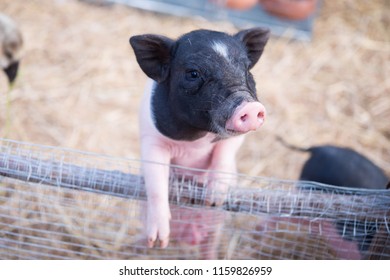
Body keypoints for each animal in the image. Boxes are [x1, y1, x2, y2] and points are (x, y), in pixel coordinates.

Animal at [129, 27, 270, 256]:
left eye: (247, 68)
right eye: (193, 73)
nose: (250, 107)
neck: (196, 141)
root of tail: (188, 236)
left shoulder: (233, 139)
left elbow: (223, 156)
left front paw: (214, 199)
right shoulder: (151, 139)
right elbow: (157, 182)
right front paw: (158, 240)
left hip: (215, 225)